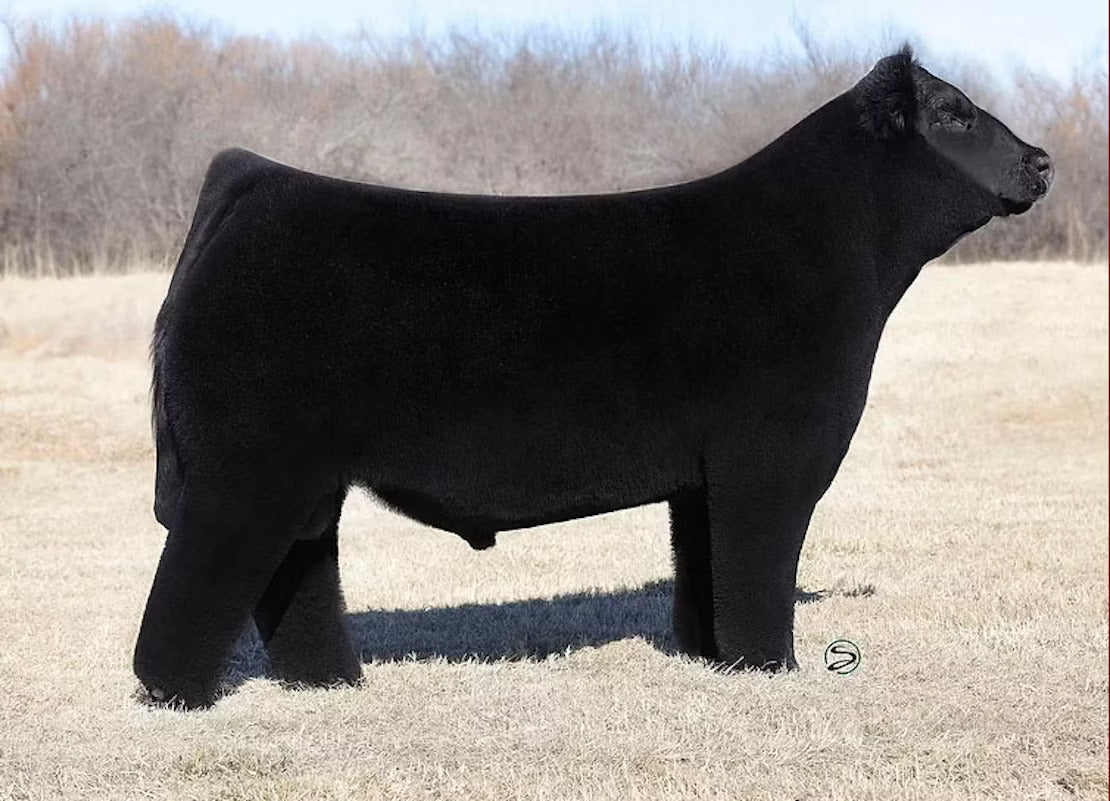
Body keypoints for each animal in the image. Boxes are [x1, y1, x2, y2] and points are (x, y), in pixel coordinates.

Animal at [134, 46, 1052, 708]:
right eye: (956, 113)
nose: (1042, 160)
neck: (832, 245)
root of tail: (253, 179)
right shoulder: (770, 461)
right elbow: (759, 568)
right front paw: (772, 668)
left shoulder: (704, 476)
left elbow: (705, 568)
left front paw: (714, 658)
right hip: (245, 469)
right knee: (199, 584)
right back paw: (177, 698)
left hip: (303, 478)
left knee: (298, 573)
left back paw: (331, 684)